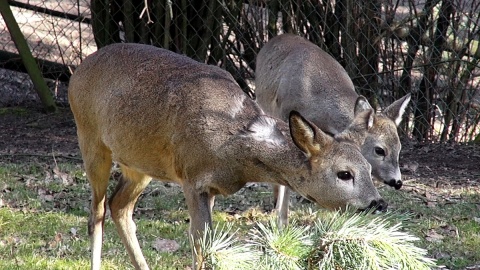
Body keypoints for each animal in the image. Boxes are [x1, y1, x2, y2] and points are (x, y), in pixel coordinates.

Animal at [68, 43, 386, 268]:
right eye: (344, 173)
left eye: (369, 169)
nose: (377, 203)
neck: (233, 148)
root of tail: (79, 69)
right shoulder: (191, 177)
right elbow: (200, 242)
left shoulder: (210, 187)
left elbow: (208, 243)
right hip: (90, 139)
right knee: (96, 213)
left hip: (139, 164)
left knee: (119, 205)